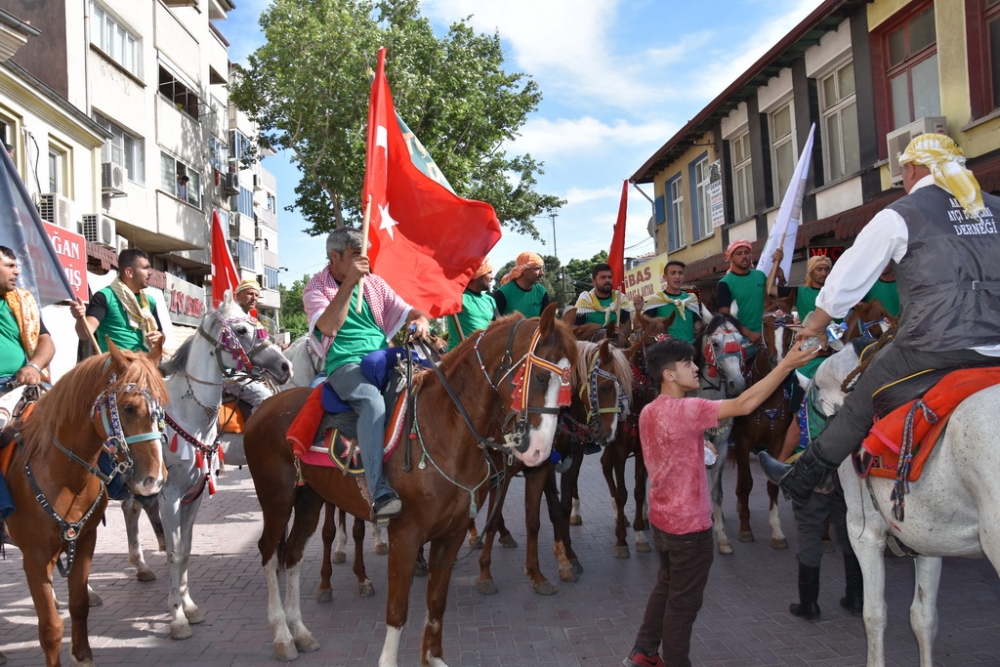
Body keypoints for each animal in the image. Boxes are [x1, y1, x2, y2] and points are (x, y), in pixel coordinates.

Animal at [4, 344, 168, 667]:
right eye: (128, 408)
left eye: (161, 409)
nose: (154, 479)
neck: (61, 473)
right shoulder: (34, 556)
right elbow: (51, 627)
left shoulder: (84, 541)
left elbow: (78, 605)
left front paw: (82, 656)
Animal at [154, 294, 292, 640]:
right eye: (241, 330)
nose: (284, 367)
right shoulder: (169, 495)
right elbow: (175, 551)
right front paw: (177, 617)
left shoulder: (194, 492)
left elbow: (185, 549)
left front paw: (188, 607)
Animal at [242, 306, 576, 664]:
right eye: (540, 377)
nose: (540, 451)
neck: (445, 431)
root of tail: (266, 407)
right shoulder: (406, 535)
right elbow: (398, 610)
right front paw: (390, 659)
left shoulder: (452, 535)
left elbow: (436, 603)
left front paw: (434, 658)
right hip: (277, 500)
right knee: (269, 554)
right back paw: (282, 635)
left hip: (309, 499)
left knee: (293, 554)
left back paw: (301, 632)